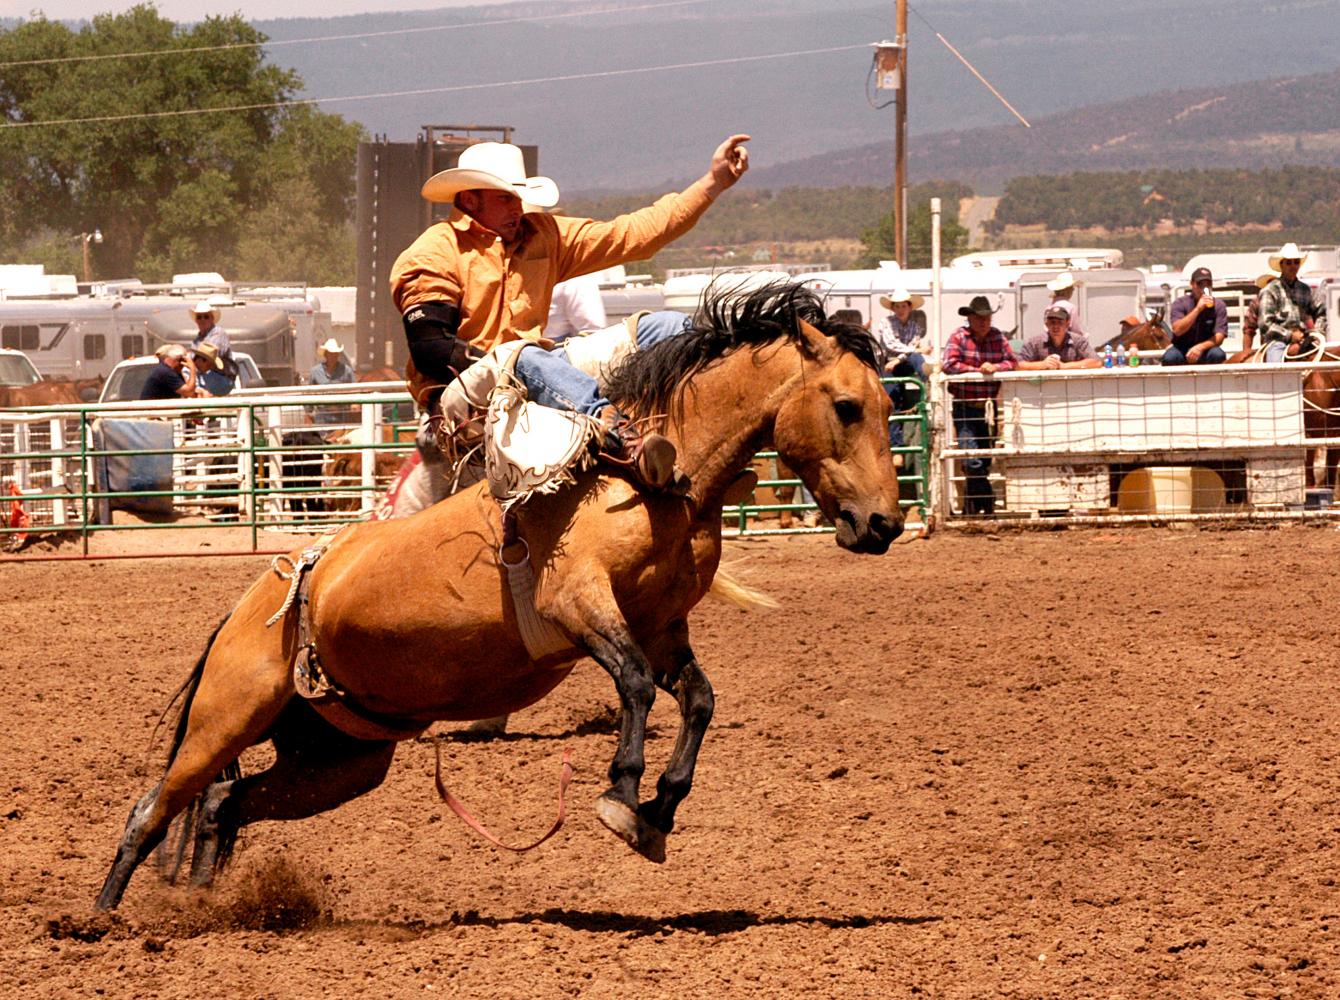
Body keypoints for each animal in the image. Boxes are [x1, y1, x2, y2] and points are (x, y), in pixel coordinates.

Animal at [94, 278, 900, 906]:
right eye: (847, 406)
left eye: (889, 408)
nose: (884, 523)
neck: (653, 483)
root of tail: (261, 597)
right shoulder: (578, 605)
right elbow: (636, 684)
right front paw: (621, 794)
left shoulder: (662, 624)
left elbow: (698, 699)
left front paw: (661, 810)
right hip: (227, 716)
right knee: (153, 808)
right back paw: (101, 921)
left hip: (340, 758)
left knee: (225, 801)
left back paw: (202, 901)